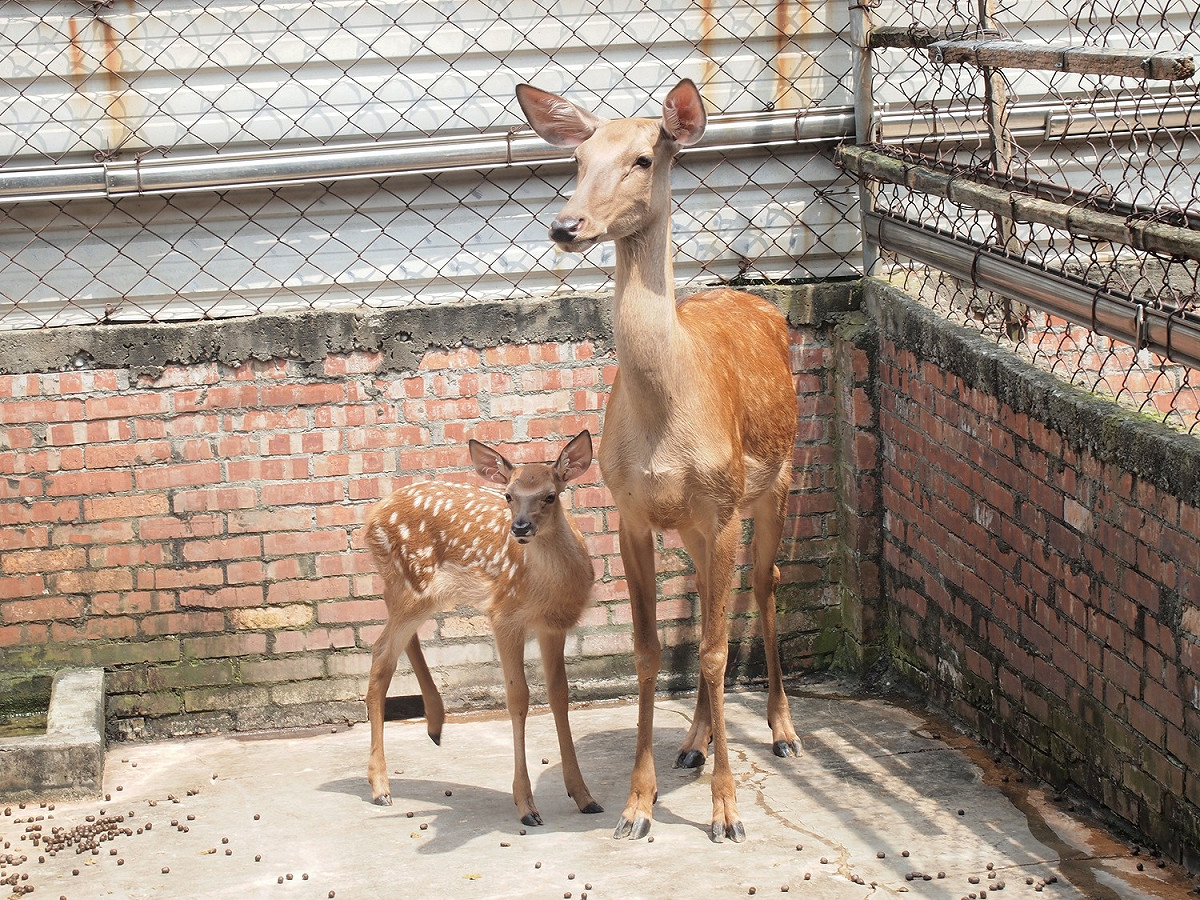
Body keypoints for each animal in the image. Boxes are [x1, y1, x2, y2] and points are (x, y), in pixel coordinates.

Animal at [361, 430, 604, 827]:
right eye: (508, 495)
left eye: (550, 495)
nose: (519, 528)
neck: (546, 589)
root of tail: (369, 517)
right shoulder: (504, 615)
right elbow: (518, 697)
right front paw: (526, 806)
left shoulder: (553, 626)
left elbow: (559, 695)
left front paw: (584, 796)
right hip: (412, 586)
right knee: (381, 654)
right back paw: (381, 787)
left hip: (413, 591)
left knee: (395, 640)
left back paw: (435, 723)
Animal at [515, 78, 802, 844]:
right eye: (577, 157)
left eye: (644, 158)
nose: (565, 225)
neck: (667, 423)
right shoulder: (633, 512)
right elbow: (653, 650)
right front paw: (636, 808)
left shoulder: (725, 505)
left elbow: (712, 648)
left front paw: (728, 814)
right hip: (699, 525)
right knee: (708, 608)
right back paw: (692, 745)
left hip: (777, 479)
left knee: (765, 586)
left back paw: (783, 731)